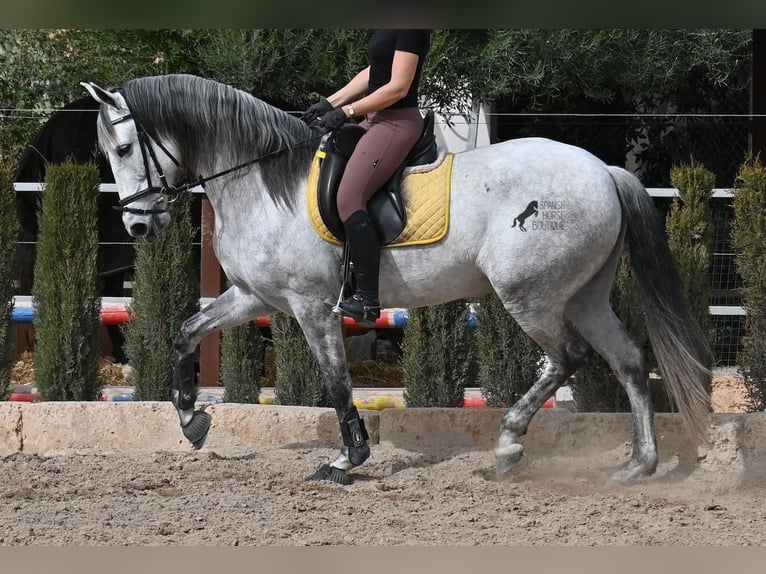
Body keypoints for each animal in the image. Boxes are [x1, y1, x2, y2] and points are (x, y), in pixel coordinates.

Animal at [81, 73, 712, 486]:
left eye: (124, 146)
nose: (139, 225)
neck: (261, 180)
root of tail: (602, 171)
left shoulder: (311, 306)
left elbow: (337, 382)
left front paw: (347, 460)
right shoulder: (255, 296)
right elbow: (185, 331)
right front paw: (191, 420)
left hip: (530, 294)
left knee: (568, 357)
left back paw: (509, 443)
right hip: (582, 295)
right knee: (628, 360)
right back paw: (637, 465)